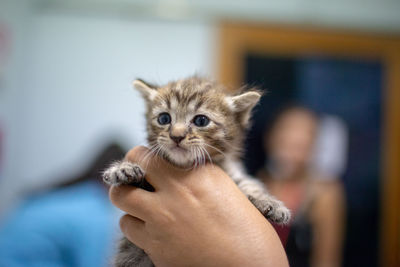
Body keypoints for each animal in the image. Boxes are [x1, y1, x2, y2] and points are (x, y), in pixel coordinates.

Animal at [103, 76, 290, 266]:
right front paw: (123, 169)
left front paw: (269, 203)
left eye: (201, 121)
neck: (183, 165)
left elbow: (248, 183)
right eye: (164, 118)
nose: (176, 136)